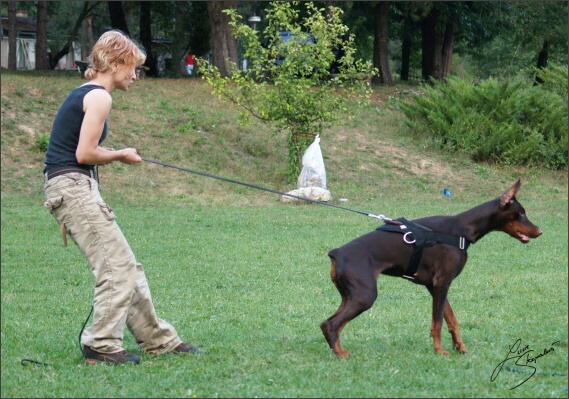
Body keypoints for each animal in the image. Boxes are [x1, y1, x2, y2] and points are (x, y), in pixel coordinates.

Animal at [320, 180, 540, 358]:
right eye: (521, 213)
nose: (540, 231)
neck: (463, 229)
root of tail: (336, 253)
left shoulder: (433, 286)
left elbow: (451, 318)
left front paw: (460, 347)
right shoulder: (442, 282)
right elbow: (438, 322)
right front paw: (440, 350)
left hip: (350, 295)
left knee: (328, 324)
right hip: (365, 295)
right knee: (332, 325)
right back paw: (340, 354)